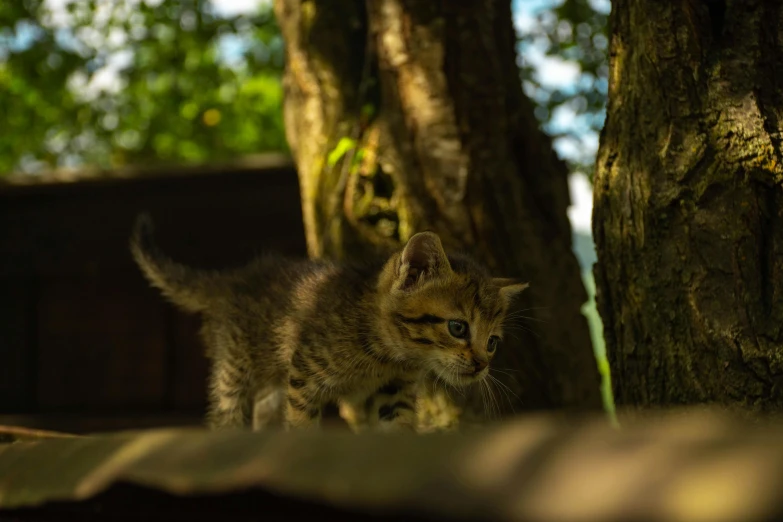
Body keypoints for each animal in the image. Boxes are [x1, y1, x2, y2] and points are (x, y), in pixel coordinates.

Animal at [132, 212, 528, 430]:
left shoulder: (393, 392)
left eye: (493, 342)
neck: (387, 353)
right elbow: (302, 425)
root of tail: (234, 277)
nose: (481, 365)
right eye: (458, 327)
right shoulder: (303, 377)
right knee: (225, 415)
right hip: (235, 369)